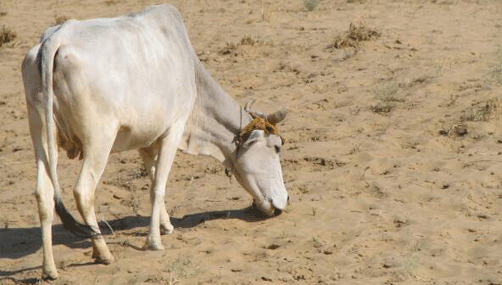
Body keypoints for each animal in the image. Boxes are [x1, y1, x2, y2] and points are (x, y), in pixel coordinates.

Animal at [21, 4, 288, 278]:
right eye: (277, 148)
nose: (283, 201)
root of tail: (55, 38)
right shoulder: (173, 130)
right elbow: (159, 186)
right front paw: (154, 241)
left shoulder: (146, 140)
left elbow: (152, 178)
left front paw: (166, 225)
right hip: (99, 139)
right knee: (83, 191)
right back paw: (103, 252)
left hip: (42, 138)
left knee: (44, 195)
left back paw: (49, 269)